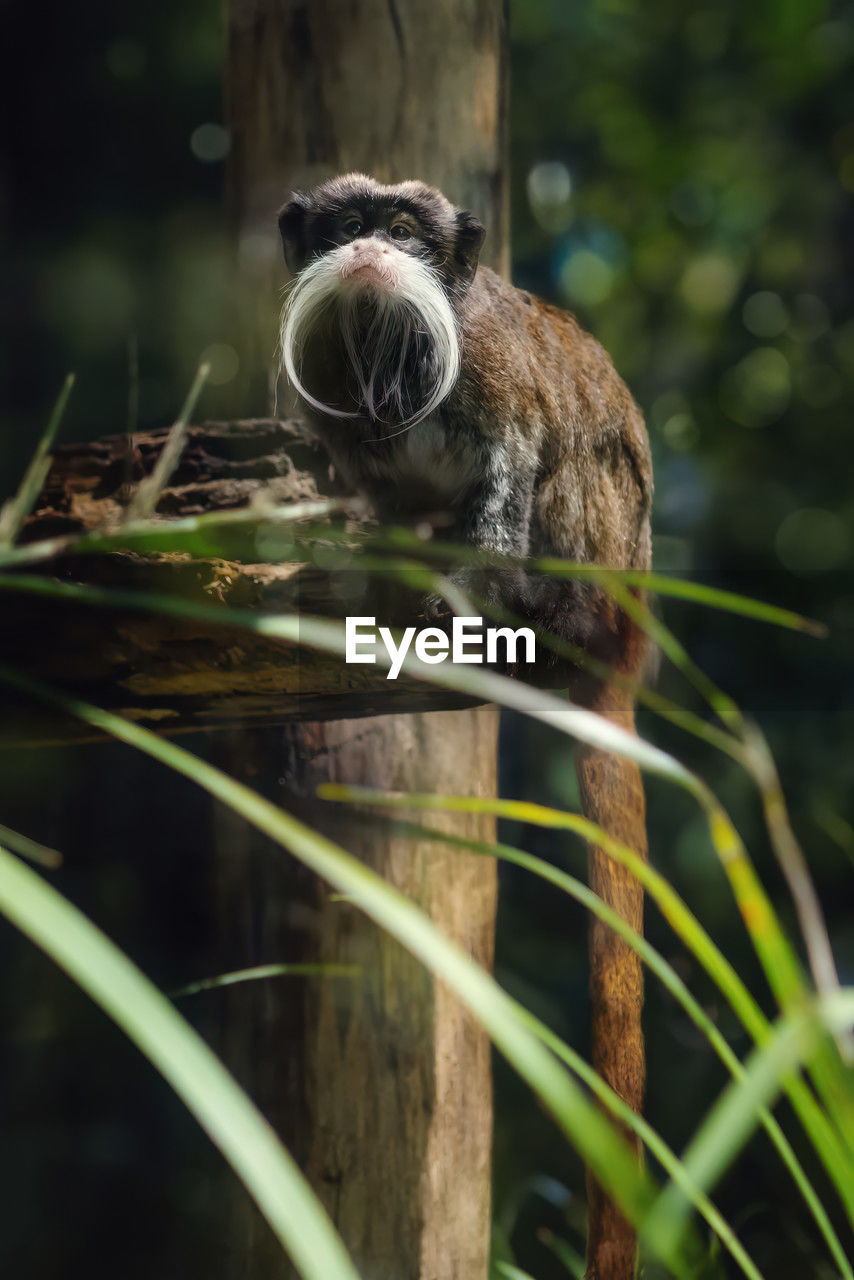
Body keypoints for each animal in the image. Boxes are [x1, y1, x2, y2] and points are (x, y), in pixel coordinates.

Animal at [277, 177, 650, 1280]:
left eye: (405, 233)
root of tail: (624, 643)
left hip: (600, 552)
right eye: (346, 228)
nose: (370, 251)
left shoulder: (489, 377)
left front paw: (468, 579)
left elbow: (511, 473)